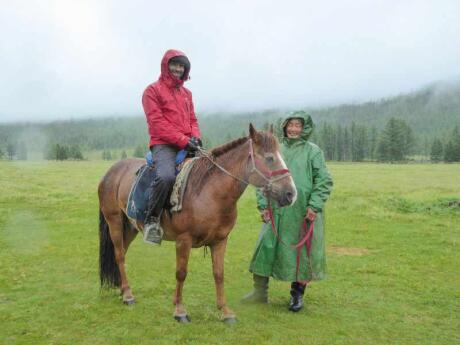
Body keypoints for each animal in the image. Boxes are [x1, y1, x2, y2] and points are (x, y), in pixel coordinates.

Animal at [98, 124, 296, 322]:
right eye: (269, 158)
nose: (291, 194)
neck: (209, 193)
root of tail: (111, 171)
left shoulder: (220, 241)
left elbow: (219, 274)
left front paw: (225, 311)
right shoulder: (183, 240)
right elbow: (181, 273)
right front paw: (180, 310)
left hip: (131, 226)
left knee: (122, 252)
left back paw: (122, 290)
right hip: (114, 221)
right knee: (119, 255)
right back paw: (127, 295)